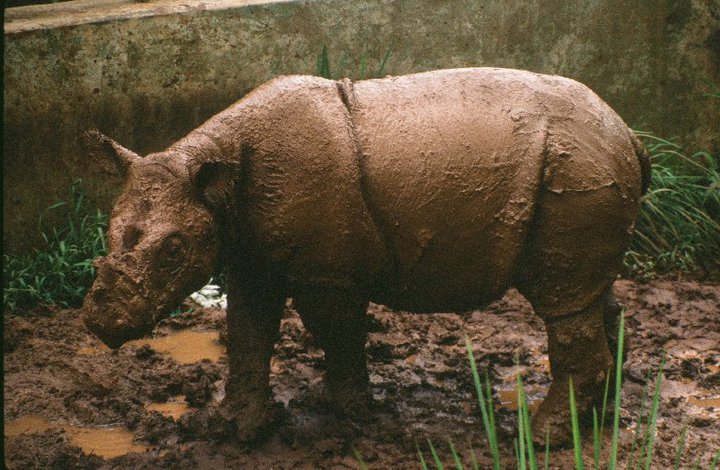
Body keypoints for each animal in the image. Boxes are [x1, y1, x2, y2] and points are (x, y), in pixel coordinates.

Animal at [82, 67, 650, 445]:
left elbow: (335, 331)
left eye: (174, 250)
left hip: (574, 171)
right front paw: (234, 429)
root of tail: (629, 133)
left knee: (563, 300)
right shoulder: (251, 258)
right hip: (580, 167)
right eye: (107, 234)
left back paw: (536, 436)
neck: (220, 184)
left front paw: (352, 414)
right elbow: (247, 334)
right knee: (589, 296)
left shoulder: (328, 273)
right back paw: (599, 419)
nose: (99, 322)